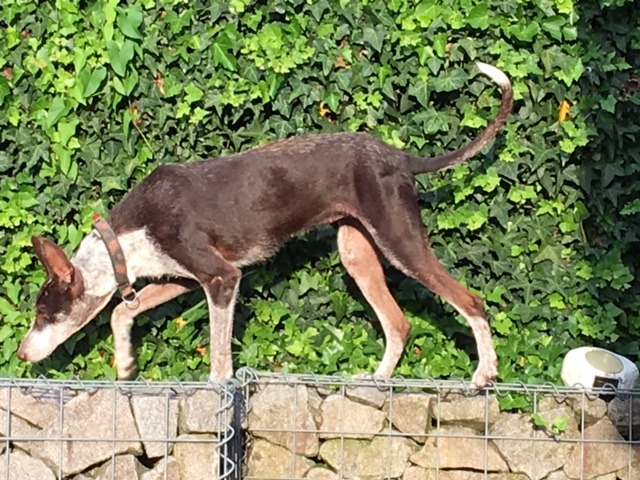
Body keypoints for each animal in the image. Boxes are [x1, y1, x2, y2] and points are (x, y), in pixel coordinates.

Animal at [18, 62, 512, 388]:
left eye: (43, 315)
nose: (21, 353)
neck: (123, 239)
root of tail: (398, 157)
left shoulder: (221, 279)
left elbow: (219, 355)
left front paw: (216, 390)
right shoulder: (185, 279)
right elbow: (122, 310)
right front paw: (124, 363)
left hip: (400, 241)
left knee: (471, 301)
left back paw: (484, 374)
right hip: (357, 252)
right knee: (399, 323)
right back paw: (376, 378)